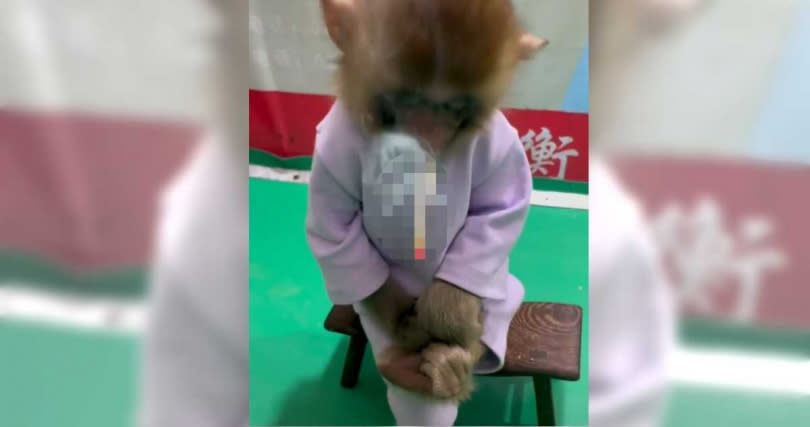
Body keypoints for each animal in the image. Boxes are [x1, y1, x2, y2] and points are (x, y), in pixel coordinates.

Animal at [306, 0, 548, 414]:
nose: (428, 137)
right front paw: (408, 323)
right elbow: (337, 231)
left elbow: (497, 209)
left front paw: (446, 314)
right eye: (409, 101)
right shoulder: (331, 146)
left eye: (454, 108)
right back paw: (408, 366)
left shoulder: (497, 143)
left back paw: (457, 362)